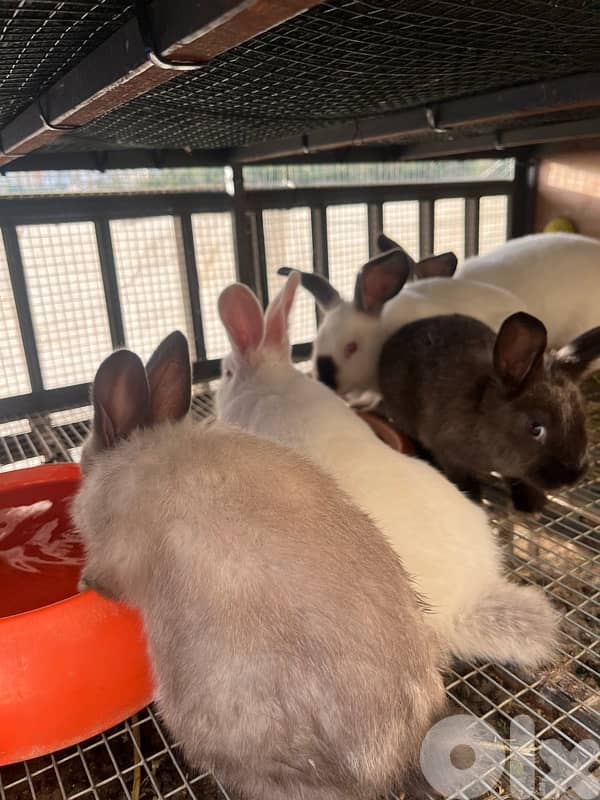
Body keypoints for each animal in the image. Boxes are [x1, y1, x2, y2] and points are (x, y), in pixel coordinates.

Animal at [379, 311, 600, 513]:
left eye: (581, 417)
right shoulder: (447, 451)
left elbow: (518, 477)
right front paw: (473, 499)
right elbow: (461, 476)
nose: (574, 476)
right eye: (536, 428)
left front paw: (533, 503)